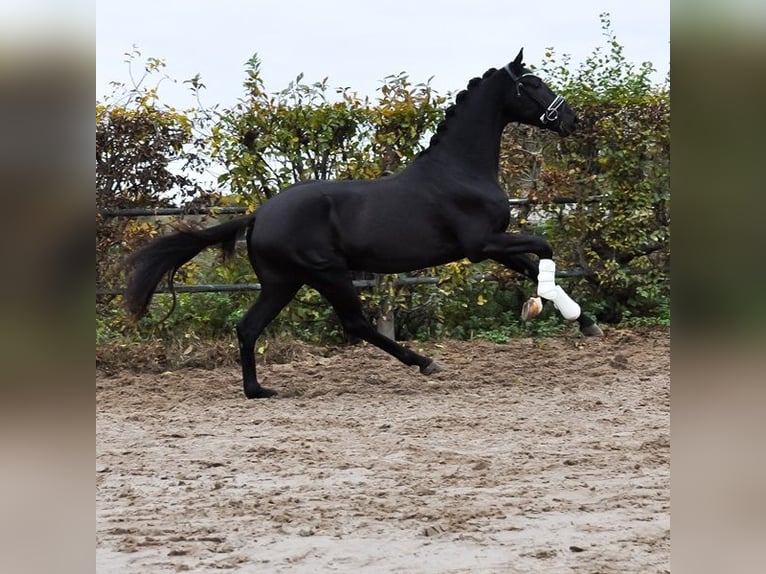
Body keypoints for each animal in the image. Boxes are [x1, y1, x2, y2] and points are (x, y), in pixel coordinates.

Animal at [126, 49, 604, 398]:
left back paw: (258, 390)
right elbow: (543, 247)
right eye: (533, 84)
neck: (460, 170)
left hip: (284, 282)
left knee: (249, 326)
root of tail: (260, 214)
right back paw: (425, 362)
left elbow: (533, 264)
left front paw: (580, 319)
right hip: (327, 273)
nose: (570, 119)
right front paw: (555, 310)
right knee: (355, 325)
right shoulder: (481, 244)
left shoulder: (492, 245)